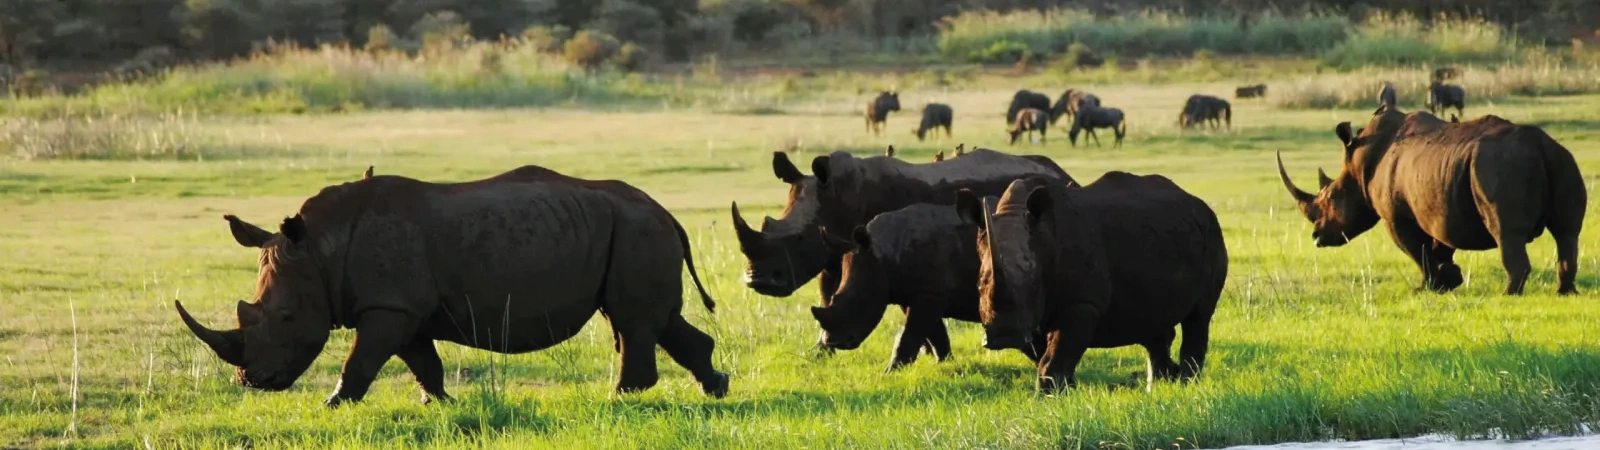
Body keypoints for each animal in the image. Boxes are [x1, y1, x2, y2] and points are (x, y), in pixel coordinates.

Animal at [176, 166, 730, 407]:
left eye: (287, 318)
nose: (251, 382)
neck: (320, 250)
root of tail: (667, 211)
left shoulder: (388, 307)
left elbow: (361, 360)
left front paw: (333, 405)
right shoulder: (401, 308)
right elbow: (423, 361)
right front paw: (438, 404)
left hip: (636, 230)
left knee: (633, 319)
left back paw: (620, 397)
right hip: (632, 230)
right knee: (656, 320)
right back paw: (714, 389)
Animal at [732, 149, 1075, 307]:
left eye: (799, 239)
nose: (757, 280)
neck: (836, 198)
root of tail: (1061, 171)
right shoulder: (831, 252)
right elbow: (828, 292)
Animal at [954, 174, 1228, 392]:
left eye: (1034, 283)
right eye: (979, 284)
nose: (1004, 336)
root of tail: (1200, 204)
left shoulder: (1082, 305)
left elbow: (1054, 358)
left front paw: (1051, 398)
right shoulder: (1032, 316)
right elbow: (1048, 356)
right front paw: (1067, 392)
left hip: (1212, 234)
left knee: (1199, 317)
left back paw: (1186, 384)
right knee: (1154, 321)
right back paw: (1161, 385)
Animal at [1276, 108, 1586, 295]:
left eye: (1331, 198)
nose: (1316, 236)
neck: (1357, 166)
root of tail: (1539, 144)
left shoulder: (1396, 218)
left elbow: (1418, 250)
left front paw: (1426, 287)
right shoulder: (1441, 207)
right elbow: (1440, 245)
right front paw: (1450, 281)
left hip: (1497, 166)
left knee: (1507, 233)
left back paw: (1509, 294)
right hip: (1562, 160)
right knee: (1567, 233)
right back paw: (1565, 292)